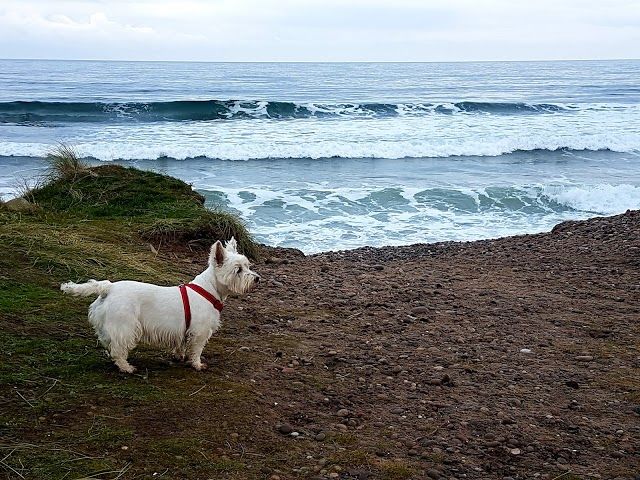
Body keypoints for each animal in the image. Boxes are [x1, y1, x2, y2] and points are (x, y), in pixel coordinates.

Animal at [61, 238, 259, 373]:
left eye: (248, 266)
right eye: (238, 270)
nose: (257, 278)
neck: (210, 289)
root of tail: (108, 287)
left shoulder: (184, 329)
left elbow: (181, 345)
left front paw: (179, 356)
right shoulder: (200, 331)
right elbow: (196, 350)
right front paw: (197, 364)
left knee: (109, 343)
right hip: (125, 325)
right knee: (118, 349)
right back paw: (126, 367)